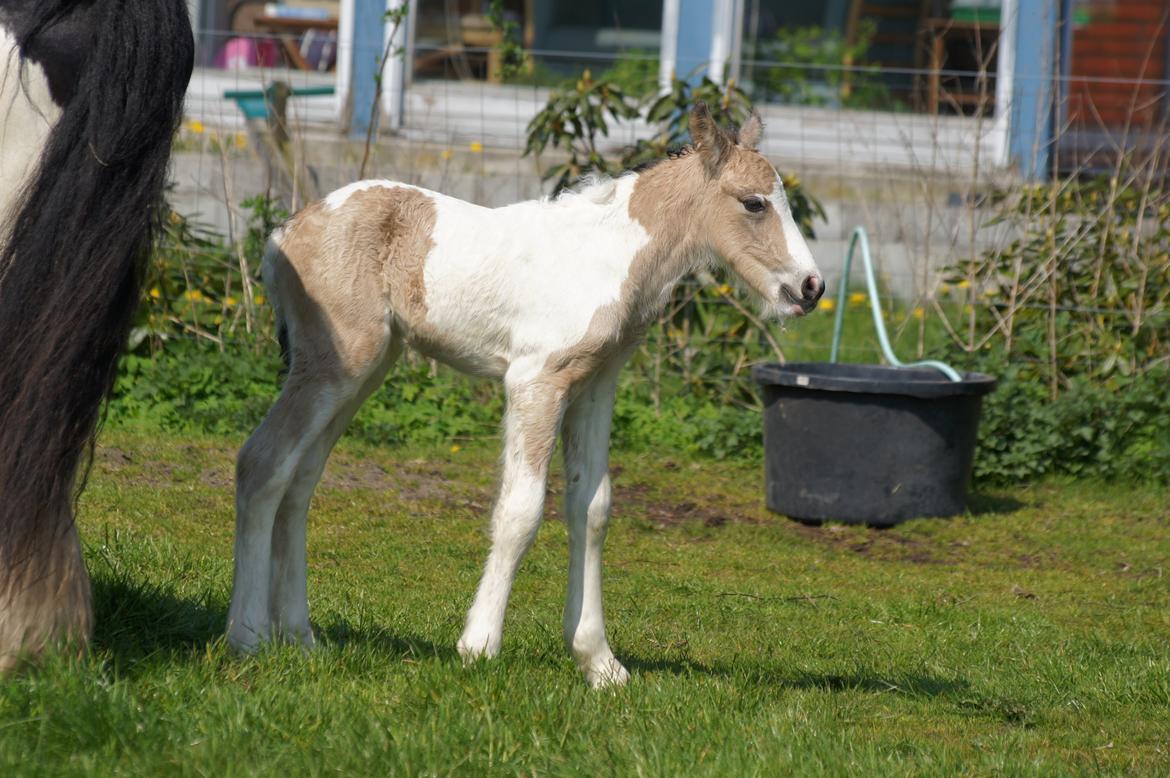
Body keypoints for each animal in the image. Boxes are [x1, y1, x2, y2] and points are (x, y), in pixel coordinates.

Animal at [225, 102, 823, 687]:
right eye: (754, 203)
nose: (811, 287)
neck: (608, 256)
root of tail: (285, 232)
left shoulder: (594, 387)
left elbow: (592, 507)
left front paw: (599, 662)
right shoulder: (536, 381)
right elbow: (521, 509)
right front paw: (479, 645)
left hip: (363, 371)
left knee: (300, 480)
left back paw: (300, 638)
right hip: (335, 365)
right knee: (263, 463)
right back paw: (247, 637)